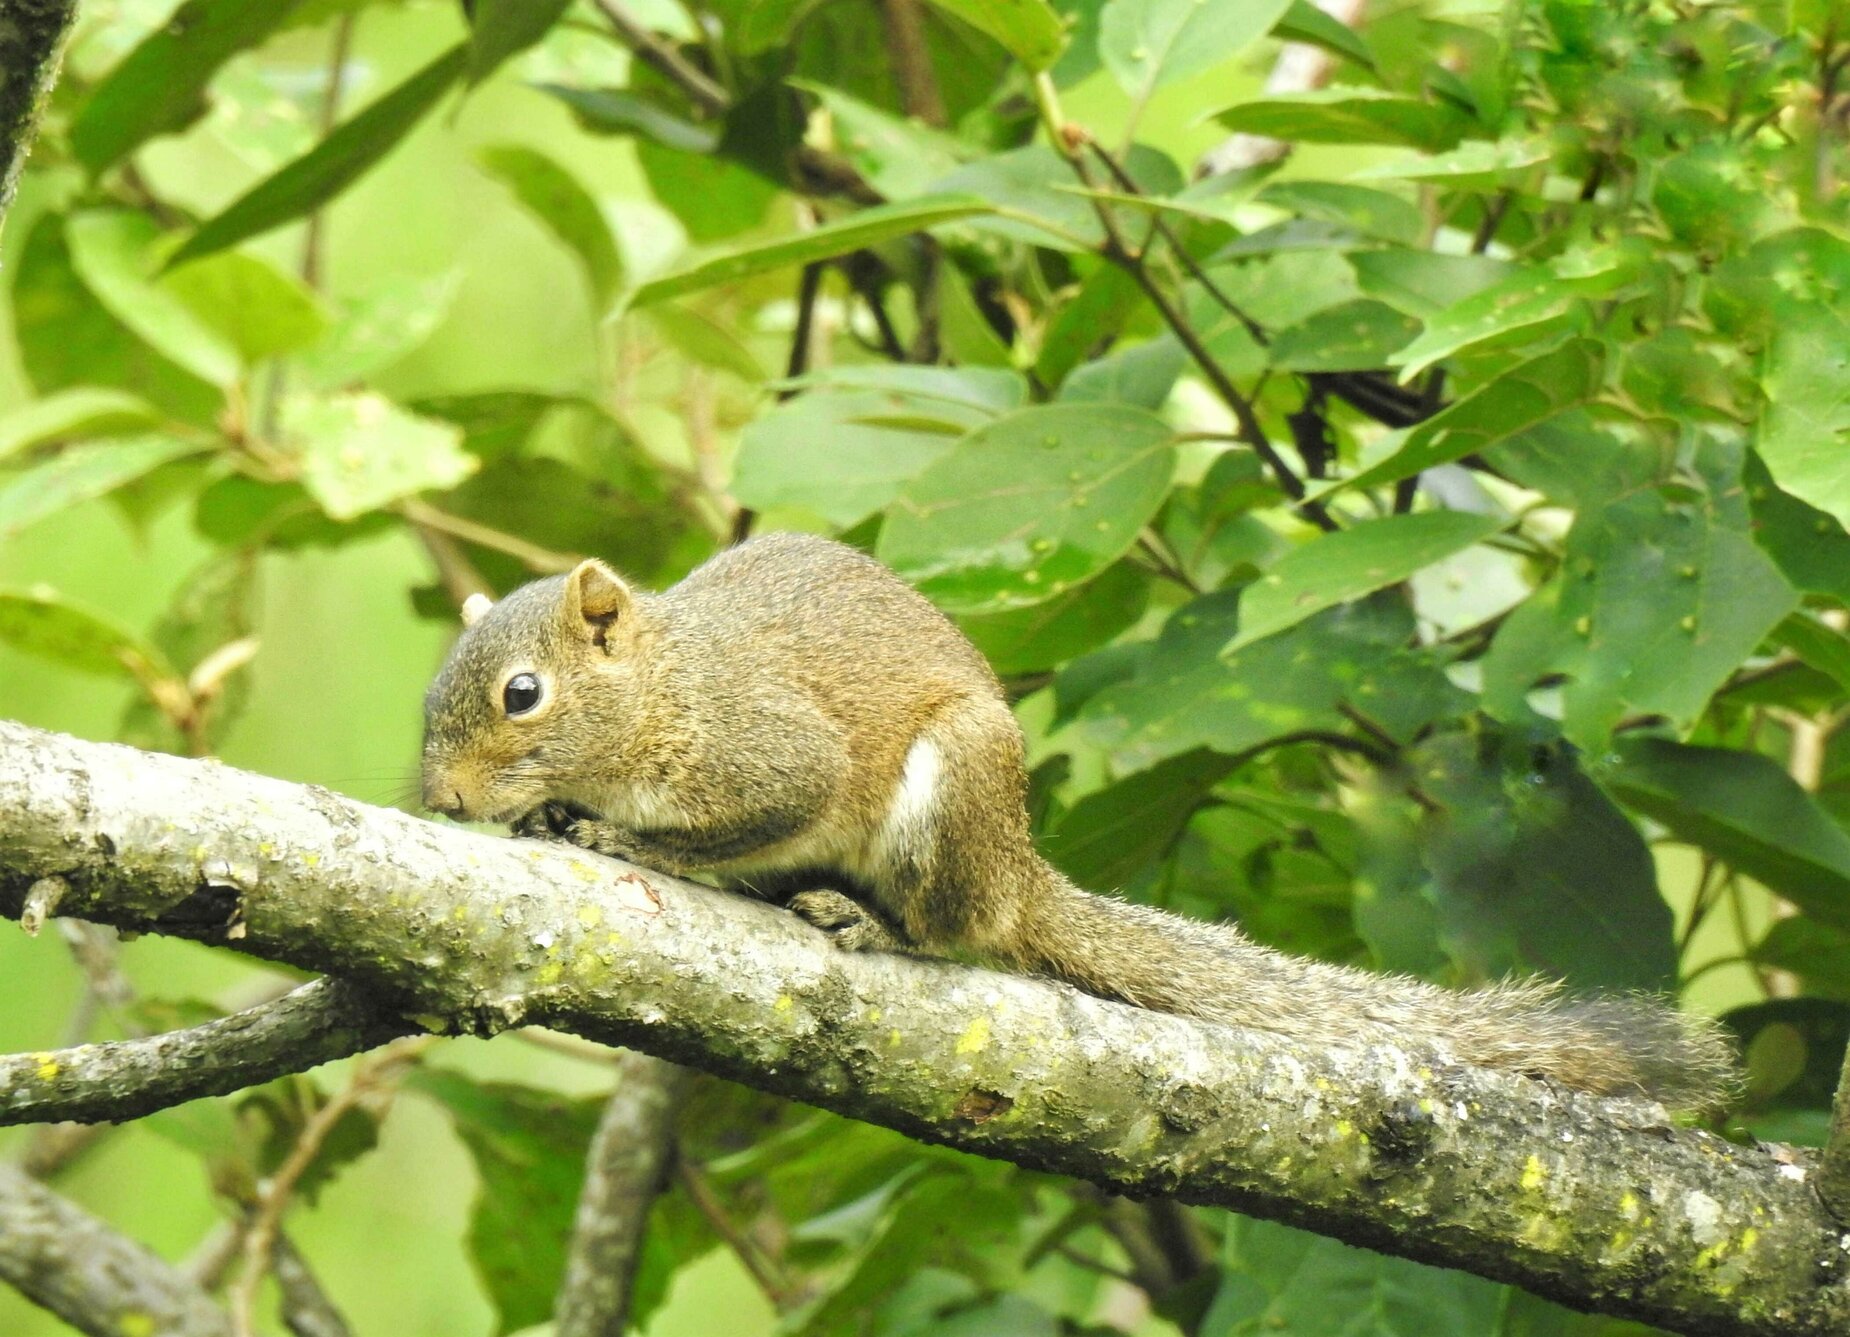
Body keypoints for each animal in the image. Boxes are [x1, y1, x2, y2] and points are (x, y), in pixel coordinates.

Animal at [421, 532, 1736, 1110]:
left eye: (521, 694)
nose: (440, 801)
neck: (660, 687)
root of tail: (1019, 867)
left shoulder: (770, 752)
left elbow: (740, 819)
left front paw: (624, 839)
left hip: (949, 796)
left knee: (954, 930)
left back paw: (876, 921)